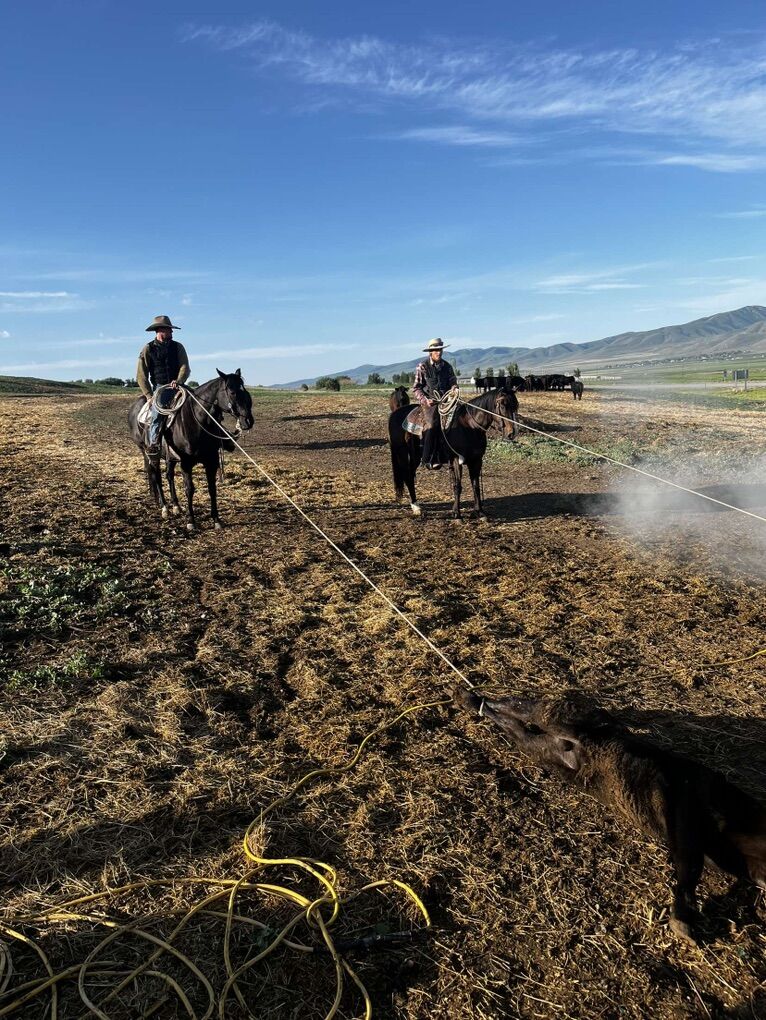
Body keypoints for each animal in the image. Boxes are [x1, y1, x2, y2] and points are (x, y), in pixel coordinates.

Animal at [128, 369, 254, 532]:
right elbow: (189, 489)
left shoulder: (211, 461)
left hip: (170, 458)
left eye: (245, 391)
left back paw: (176, 506)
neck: (198, 421)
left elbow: (212, 488)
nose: (248, 421)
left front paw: (216, 519)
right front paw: (191, 521)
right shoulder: (186, 464)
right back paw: (164, 508)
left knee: (169, 476)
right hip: (149, 453)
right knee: (157, 477)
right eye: (232, 392)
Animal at [461, 689, 766, 941]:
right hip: (554, 712)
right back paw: (467, 696)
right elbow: (689, 866)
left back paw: (473, 701)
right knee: (518, 705)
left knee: (517, 729)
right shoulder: (686, 802)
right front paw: (683, 927)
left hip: (542, 749)